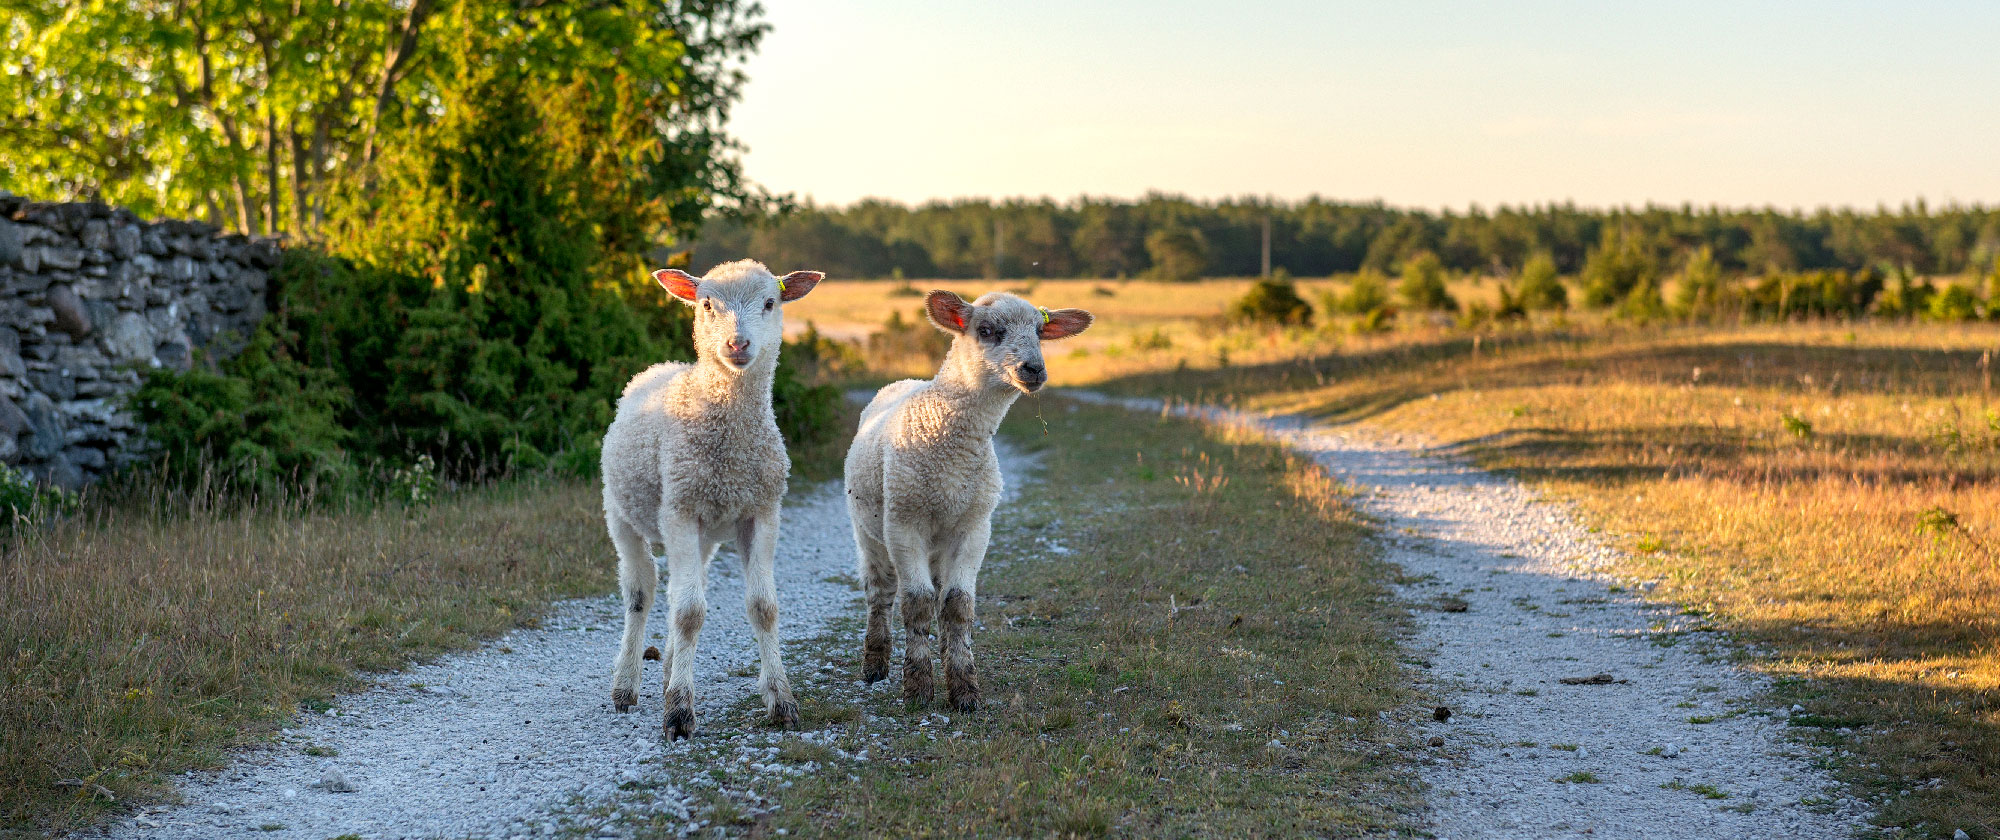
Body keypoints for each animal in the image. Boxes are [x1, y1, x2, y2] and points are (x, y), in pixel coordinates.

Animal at [596, 260, 824, 740]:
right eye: (705, 305)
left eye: (770, 302)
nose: (737, 343)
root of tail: (662, 367)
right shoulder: (681, 511)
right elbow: (688, 614)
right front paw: (679, 713)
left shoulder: (762, 510)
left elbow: (762, 608)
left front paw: (782, 701)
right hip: (621, 513)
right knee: (641, 592)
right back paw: (626, 685)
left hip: (702, 532)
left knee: (682, 587)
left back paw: (668, 670)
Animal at [844, 288, 1096, 708]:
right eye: (987, 330)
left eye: (1040, 332)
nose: (1034, 369)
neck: (953, 453)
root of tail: (906, 381)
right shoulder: (904, 522)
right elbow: (916, 603)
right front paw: (918, 687)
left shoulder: (976, 525)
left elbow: (958, 604)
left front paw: (964, 688)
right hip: (868, 530)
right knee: (880, 593)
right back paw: (875, 665)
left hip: (939, 539)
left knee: (937, 594)